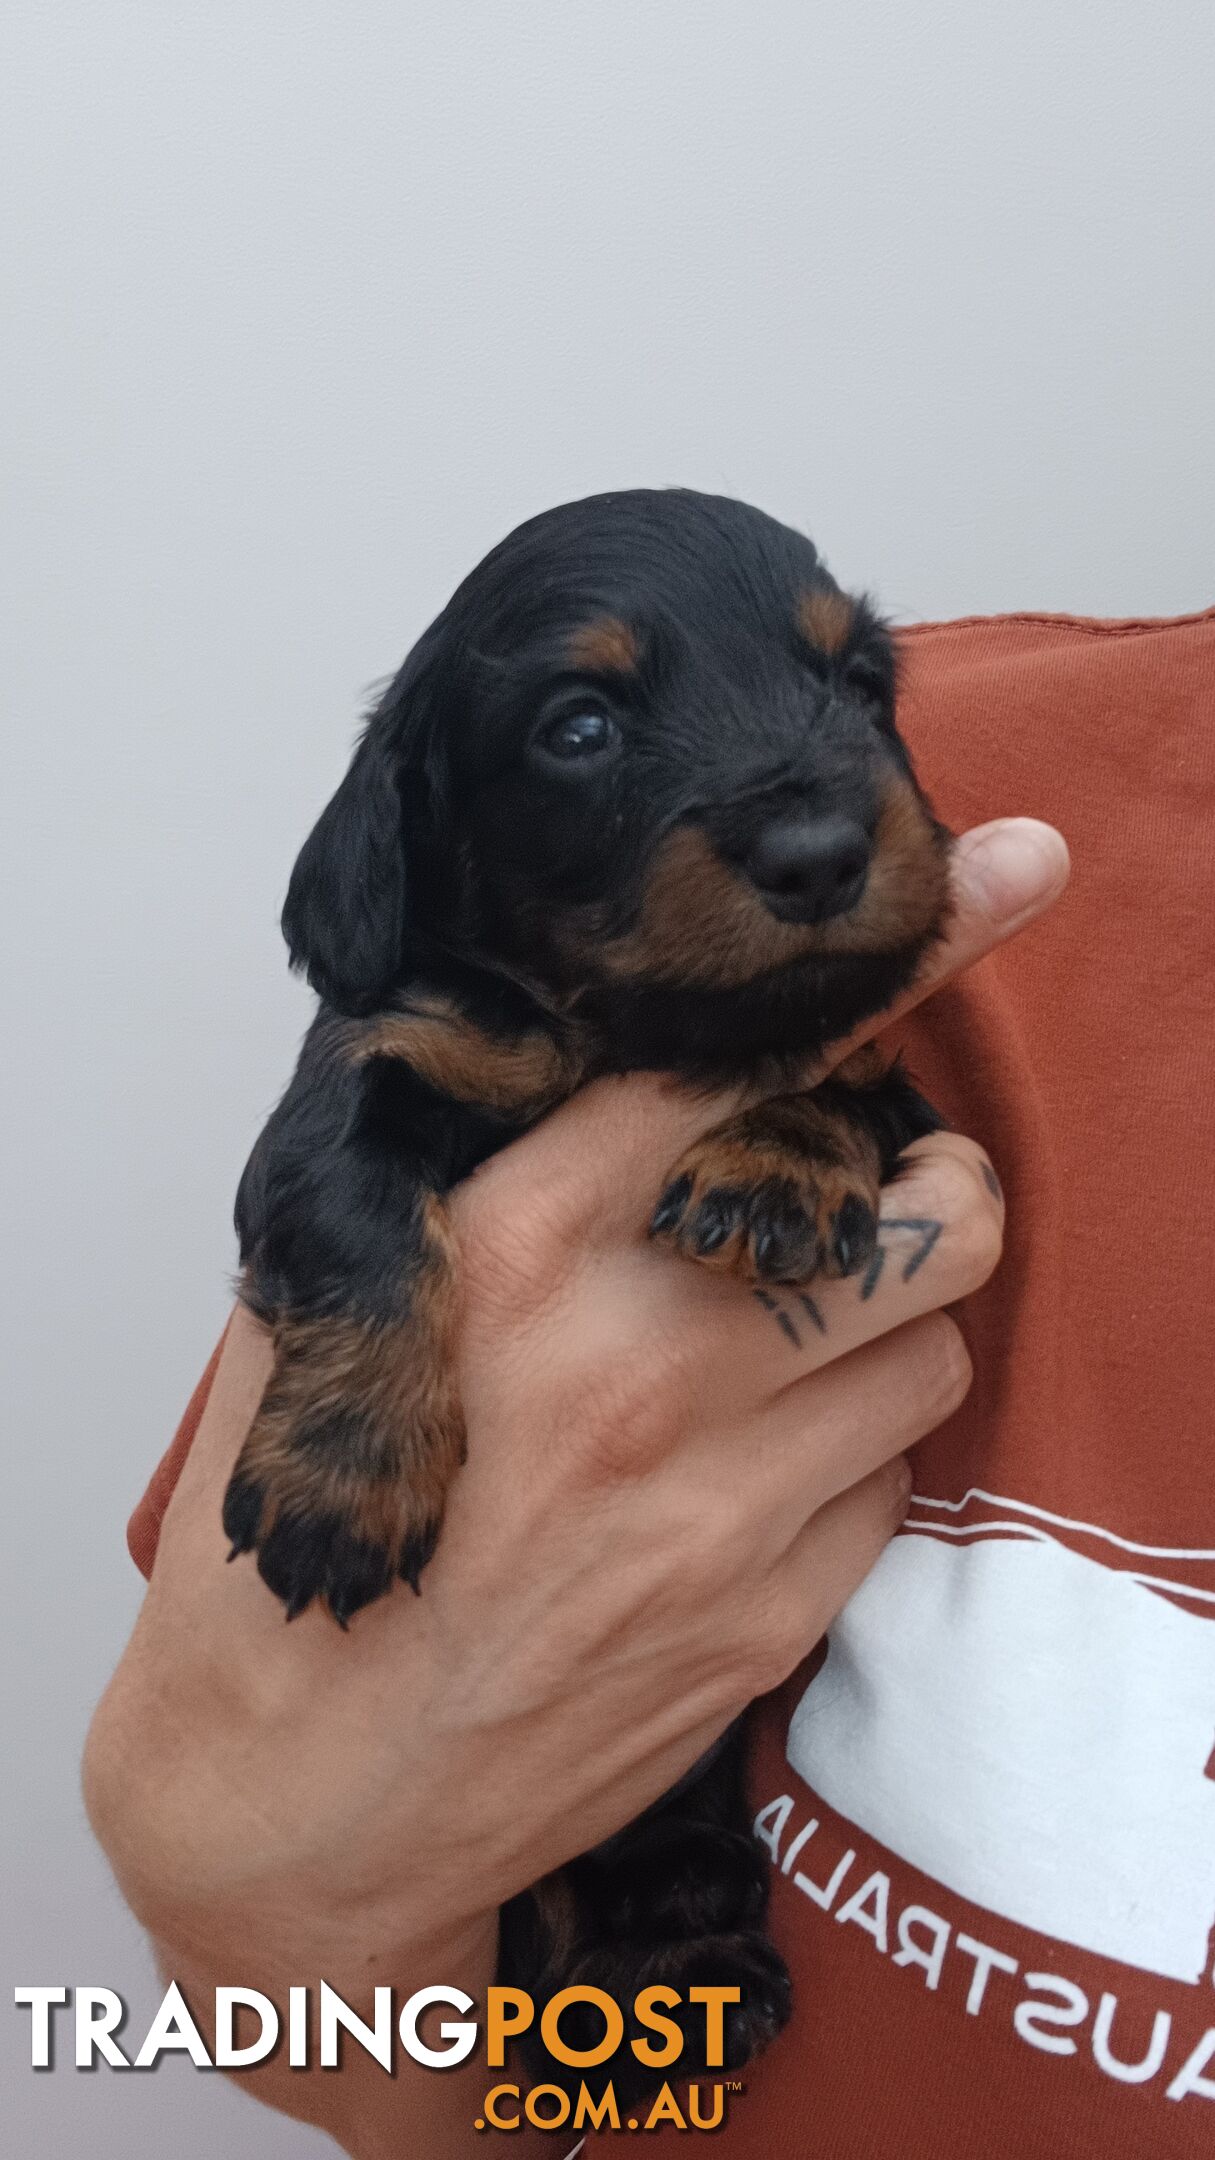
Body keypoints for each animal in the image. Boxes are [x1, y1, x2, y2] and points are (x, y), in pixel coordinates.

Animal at [224, 490, 946, 2090]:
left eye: (860, 684)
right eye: (579, 727)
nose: (820, 851)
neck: (619, 1031)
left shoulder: (896, 1085)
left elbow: (836, 1084)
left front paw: (773, 1160)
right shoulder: (362, 1069)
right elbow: (362, 1218)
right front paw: (346, 1476)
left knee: (653, 1882)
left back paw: (689, 1982)